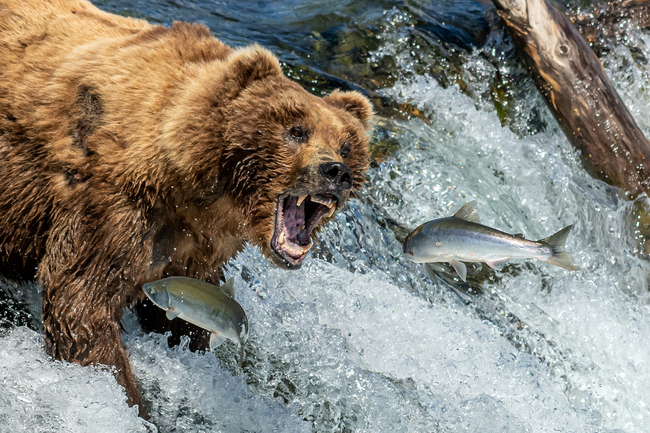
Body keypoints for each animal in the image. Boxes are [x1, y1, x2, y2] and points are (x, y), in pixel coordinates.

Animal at [0, 0, 370, 416]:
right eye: (296, 130)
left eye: (347, 146)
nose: (336, 172)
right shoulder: (113, 202)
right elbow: (81, 302)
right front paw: (130, 402)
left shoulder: (198, 240)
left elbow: (184, 313)